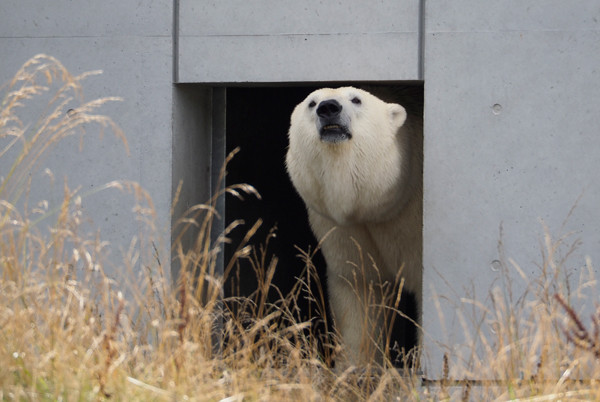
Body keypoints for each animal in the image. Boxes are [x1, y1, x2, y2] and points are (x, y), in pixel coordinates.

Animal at [286, 87, 422, 368]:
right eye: (312, 102)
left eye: (356, 99)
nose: (328, 108)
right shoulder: (343, 226)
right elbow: (359, 285)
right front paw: (354, 367)